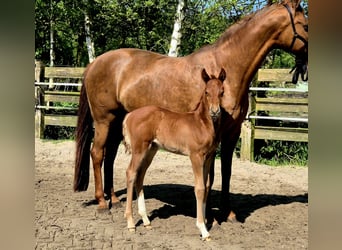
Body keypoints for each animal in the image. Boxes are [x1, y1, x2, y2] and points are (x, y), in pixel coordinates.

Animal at [121, 68, 226, 240]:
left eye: (222, 92)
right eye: (206, 92)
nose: (215, 112)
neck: (201, 124)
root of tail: (129, 115)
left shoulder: (209, 156)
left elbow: (206, 186)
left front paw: (204, 222)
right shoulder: (195, 156)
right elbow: (199, 188)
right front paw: (203, 229)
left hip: (151, 149)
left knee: (140, 175)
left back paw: (146, 220)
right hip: (139, 148)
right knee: (131, 173)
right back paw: (130, 222)